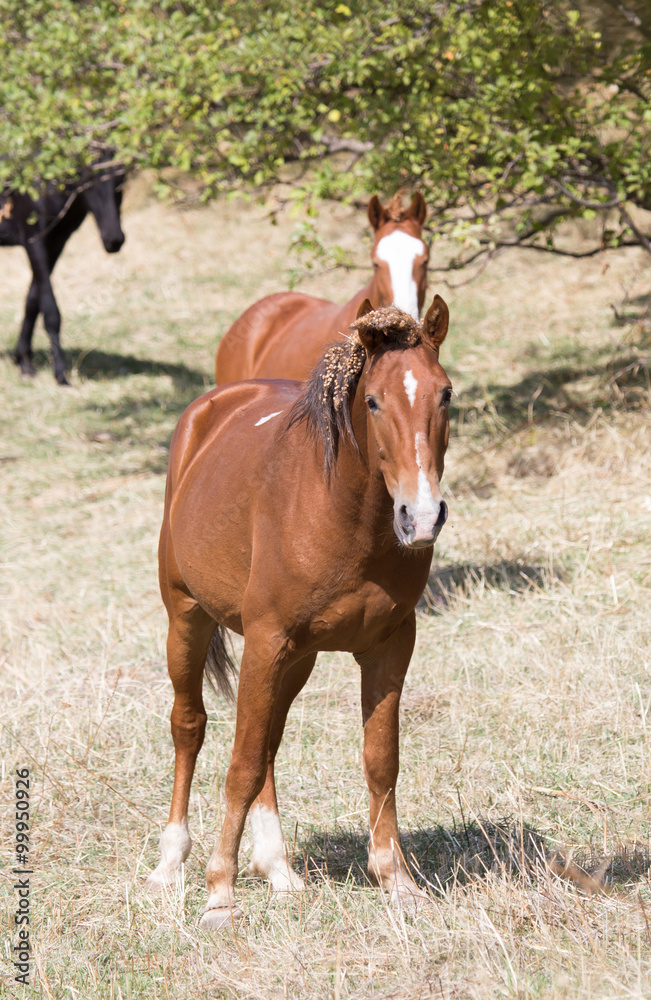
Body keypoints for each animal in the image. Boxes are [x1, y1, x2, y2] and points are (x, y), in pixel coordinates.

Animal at [0, 164, 126, 382]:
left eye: (122, 181)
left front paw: (24, 361)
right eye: (88, 182)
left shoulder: (57, 241)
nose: (114, 240)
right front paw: (60, 373)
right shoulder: (34, 240)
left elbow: (32, 302)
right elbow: (50, 310)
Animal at [148, 296, 454, 928]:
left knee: (269, 740)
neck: (341, 512)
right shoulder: (266, 642)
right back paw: (170, 864)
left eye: (446, 394)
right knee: (190, 727)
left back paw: (279, 869)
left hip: (297, 659)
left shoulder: (390, 644)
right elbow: (239, 765)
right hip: (187, 619)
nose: (421, 517)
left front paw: (397, 879)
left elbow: (380, 760)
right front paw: (219, 893)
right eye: (373, 400)